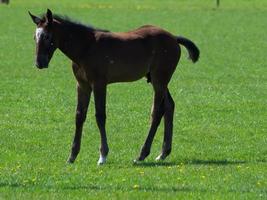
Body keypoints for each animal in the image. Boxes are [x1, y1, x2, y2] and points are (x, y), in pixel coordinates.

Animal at [29, 9, 201, 166]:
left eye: (47, 36)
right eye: (35, 37)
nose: (39, 63)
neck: (86, 47)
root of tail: (174, 38)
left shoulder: (99, 83)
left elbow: (100, 116)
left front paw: (103, 156)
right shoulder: (82, 85)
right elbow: (79, 116)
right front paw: (72, 156)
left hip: (160, 79)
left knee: (157, 111)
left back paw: (142, 154)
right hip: (156, 79)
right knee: (169, 106)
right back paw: (163, 153)